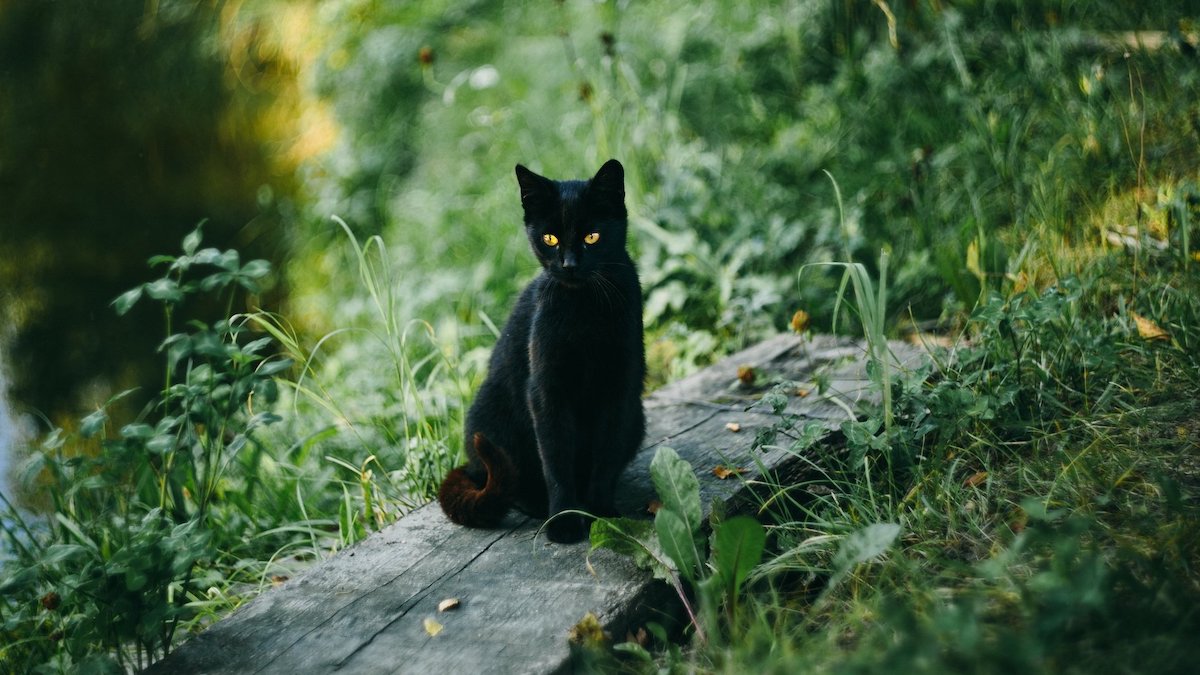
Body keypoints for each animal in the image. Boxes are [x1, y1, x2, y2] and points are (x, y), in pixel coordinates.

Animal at [439, 158, 648, 540]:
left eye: (592, 236)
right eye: (549, 238)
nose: (569, 265)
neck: (584, 311)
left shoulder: (618, 389)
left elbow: (605, 457)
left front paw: (602, 514)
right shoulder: (546, 391)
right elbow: (556, 460)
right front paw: (565, 521)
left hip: (637, 418)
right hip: (493, 417)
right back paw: (537, 505)